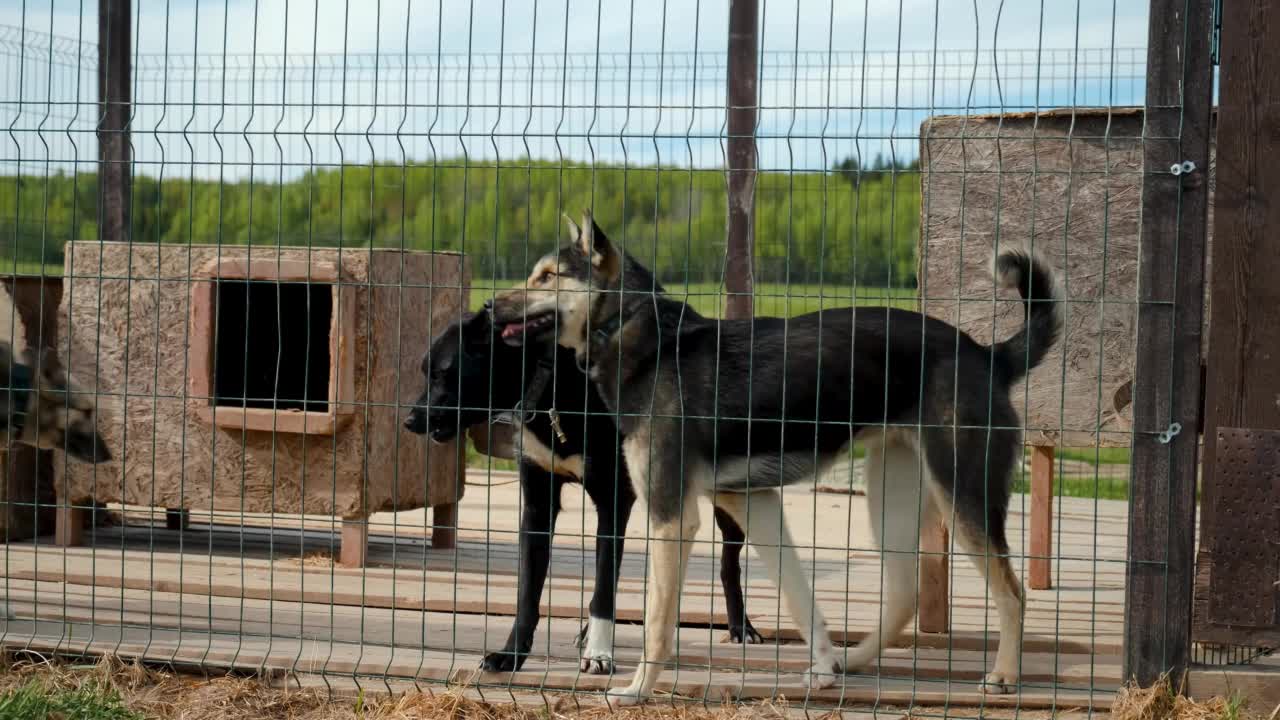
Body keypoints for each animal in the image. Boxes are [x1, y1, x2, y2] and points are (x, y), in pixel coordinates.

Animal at [401, 240, 757, 671]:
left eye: (442, 373)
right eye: (426, 371)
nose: (410, 420)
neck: (555, 381)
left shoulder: (613, 500)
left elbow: (603, 587)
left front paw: (599, 654)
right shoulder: (538, 502)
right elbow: (529, 590)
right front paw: (511, 654)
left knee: (727, 562)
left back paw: (741, 627)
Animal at [488, 210, 1059, 702]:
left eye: (547, 277)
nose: (491, 307)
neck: (641, 337)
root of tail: (987, 355)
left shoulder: (671, 517)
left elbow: (656, 622)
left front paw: (636, 689)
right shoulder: (752, 502)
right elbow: (800, 597)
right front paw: (825, 664)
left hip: (963, 497)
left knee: (1012, 593)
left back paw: (1005, 675)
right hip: (890, 500)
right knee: (904, 594)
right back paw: (855, 661)